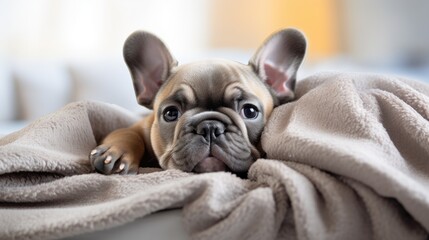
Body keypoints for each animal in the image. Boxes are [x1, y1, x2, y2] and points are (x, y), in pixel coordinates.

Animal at [89, 28, 304, 175]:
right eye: (170, 113)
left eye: (250, 111)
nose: (209, 127)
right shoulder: (140, 125)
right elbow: (127, 132)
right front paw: (118, 152)